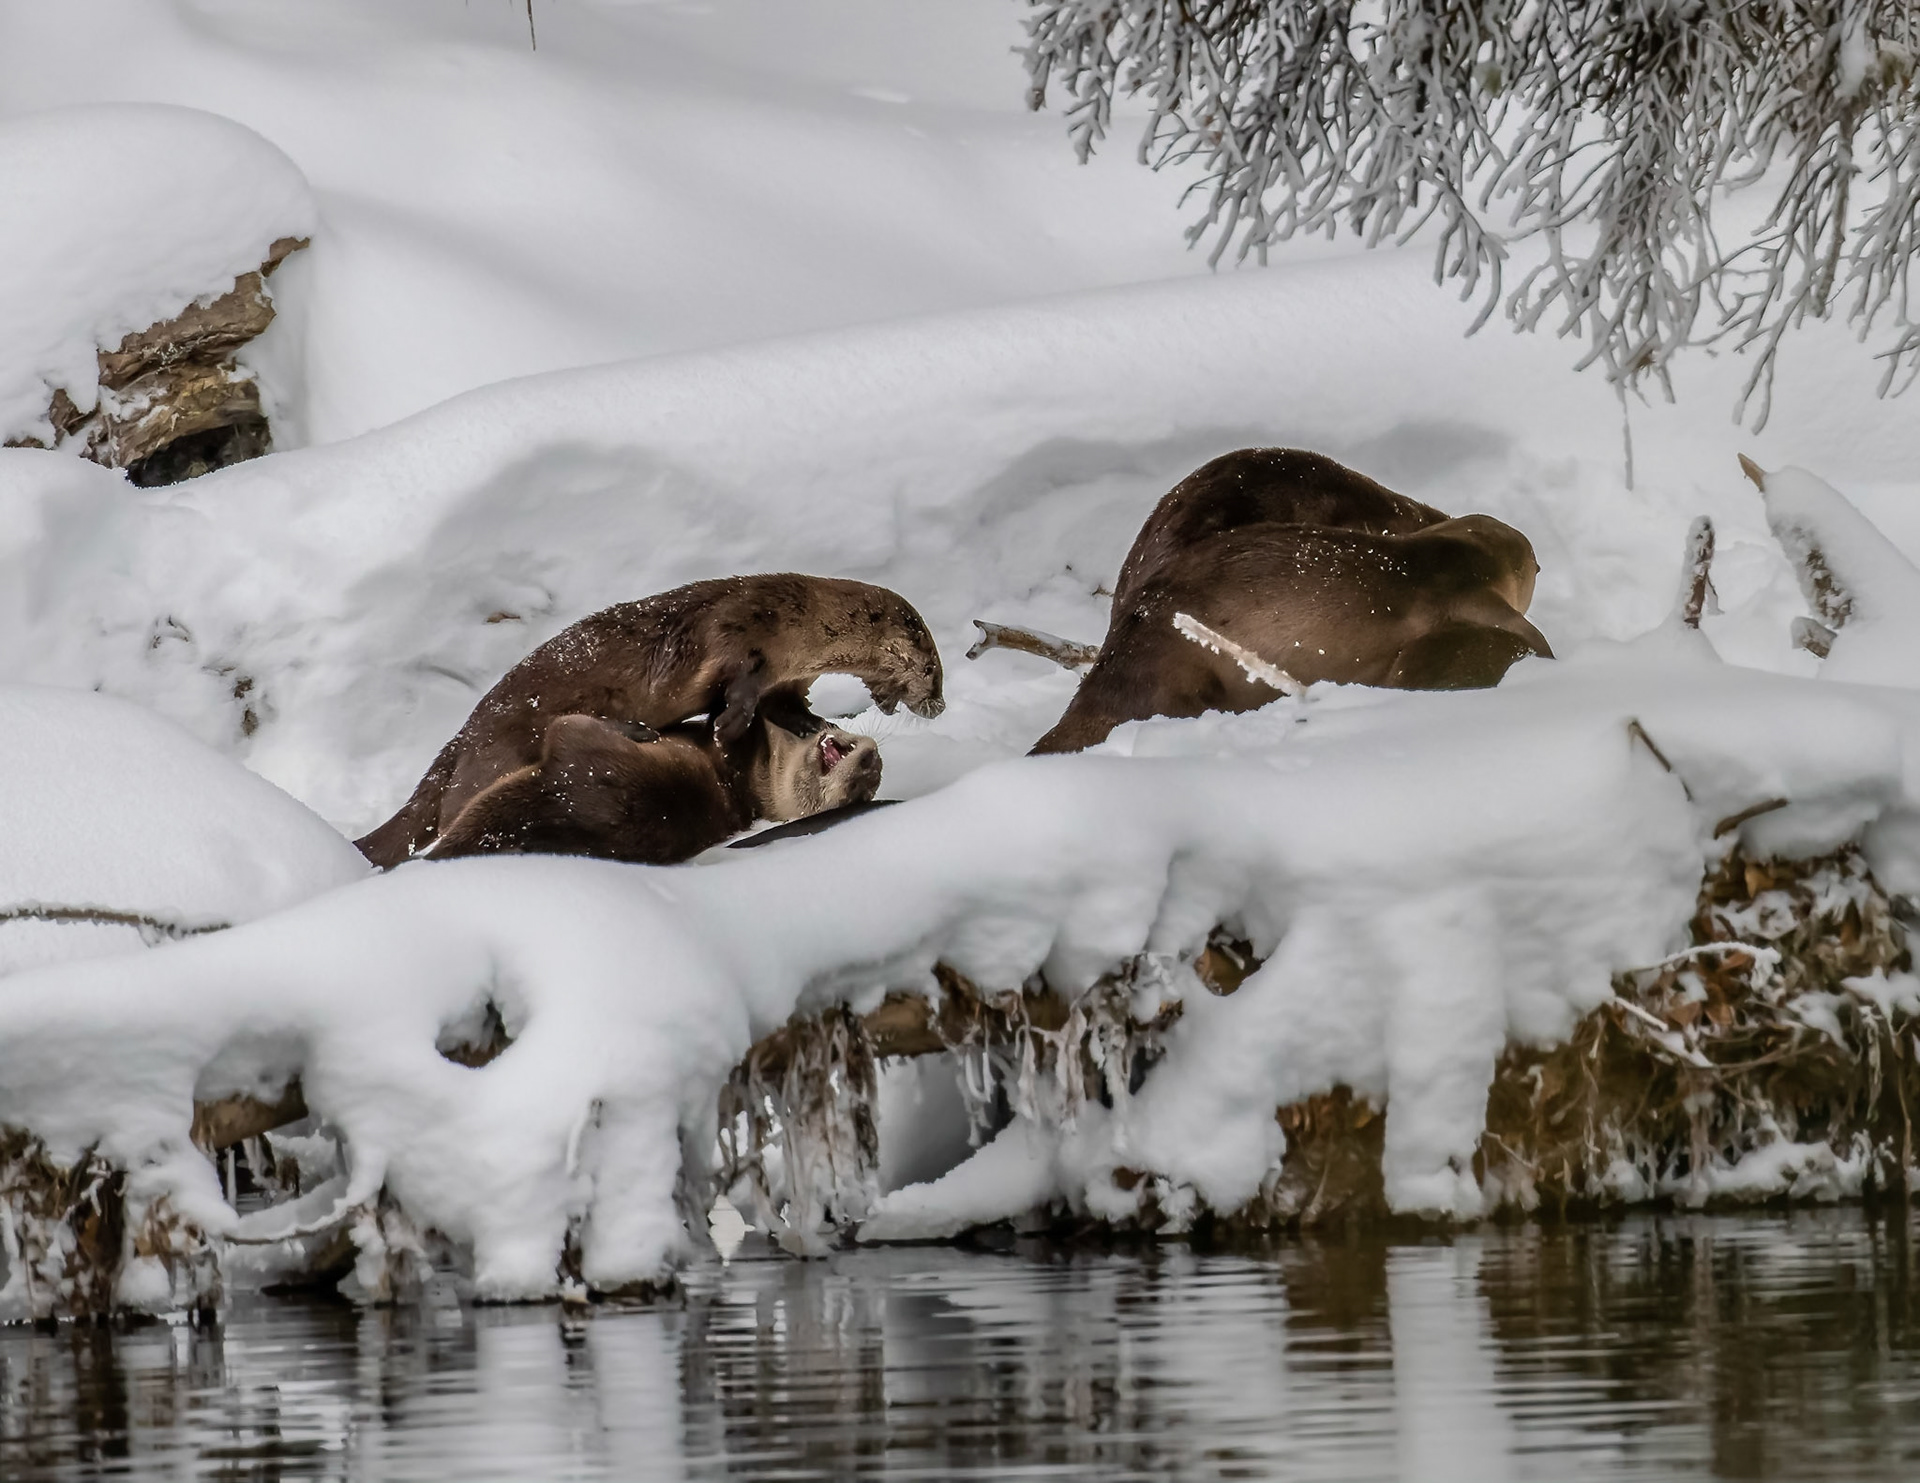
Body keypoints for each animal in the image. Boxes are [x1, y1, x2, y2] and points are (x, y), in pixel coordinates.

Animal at [425, 691, 883, 864]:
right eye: (868, 783)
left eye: (857, 793)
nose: (870, 764)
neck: (757, 771)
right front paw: (804, 717)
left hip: (578, 747)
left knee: (564, 726)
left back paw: (637, 730)